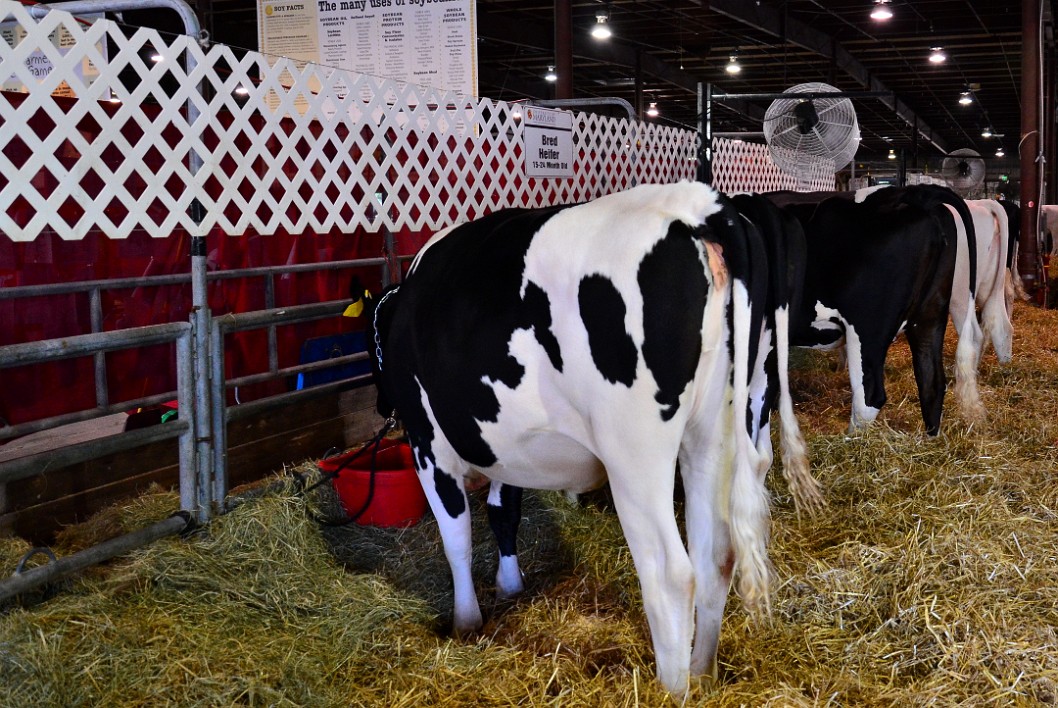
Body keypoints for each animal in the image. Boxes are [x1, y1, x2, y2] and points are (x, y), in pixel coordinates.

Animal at [368, 179, 821, 694]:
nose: (381, 406)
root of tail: (701, 203)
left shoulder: (428, 443)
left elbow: (456, 537)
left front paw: (466, 622)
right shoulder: (508, 448)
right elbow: (504, 510)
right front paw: (510, 586)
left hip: (635, 454)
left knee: (671, 574)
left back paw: (673, 689)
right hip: (714, 430)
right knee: (716, 554)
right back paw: (702, 674)